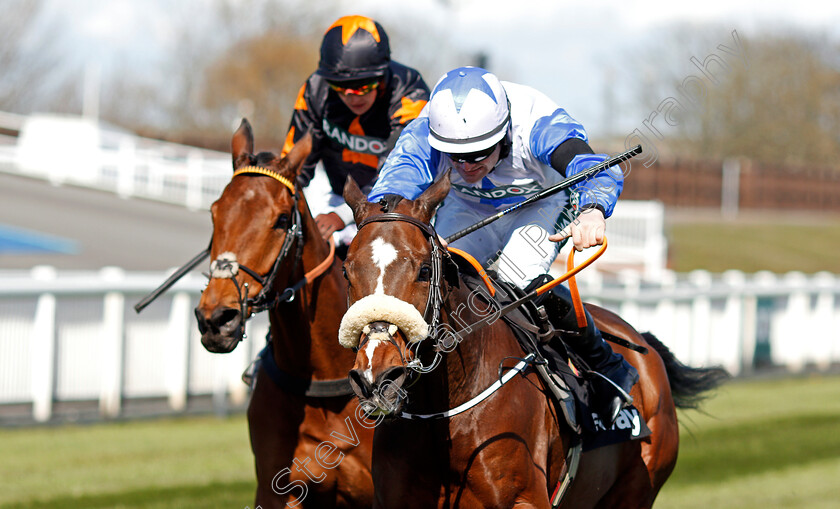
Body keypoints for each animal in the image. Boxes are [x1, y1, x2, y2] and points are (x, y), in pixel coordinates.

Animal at [338, 173, 724, 506]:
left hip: (637, 489)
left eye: (423, 270)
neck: (444, 415)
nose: (376, 377)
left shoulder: (522, 498)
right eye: (346, 270)